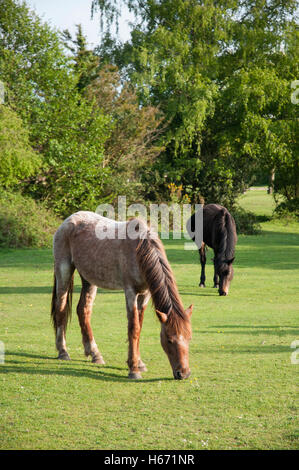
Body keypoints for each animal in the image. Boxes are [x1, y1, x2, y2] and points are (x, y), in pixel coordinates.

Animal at [51, 211, 193, 380]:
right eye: (170, 340)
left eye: (189, 337)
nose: (183, 373)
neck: (139, 250)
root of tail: (69, 220)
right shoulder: (130, 291)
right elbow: (134, 328)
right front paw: (133, 369)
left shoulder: (145, 294)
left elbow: (140, 326)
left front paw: (139, 363)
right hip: (64, 271)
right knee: (61, 309)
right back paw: (63, 351)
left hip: (89, 279)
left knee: (83, 310)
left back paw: (95, 354)